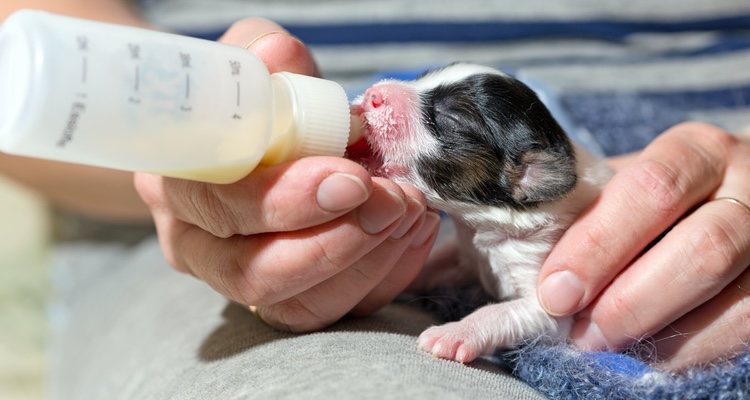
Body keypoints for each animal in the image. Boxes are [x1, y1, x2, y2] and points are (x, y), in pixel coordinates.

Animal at [350, 63, 612, 366]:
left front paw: (454, 333)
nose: (373, 94)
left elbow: (501, 312)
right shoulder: (465, 253)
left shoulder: (552, 302)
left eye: (450, 118)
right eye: (420, 77)